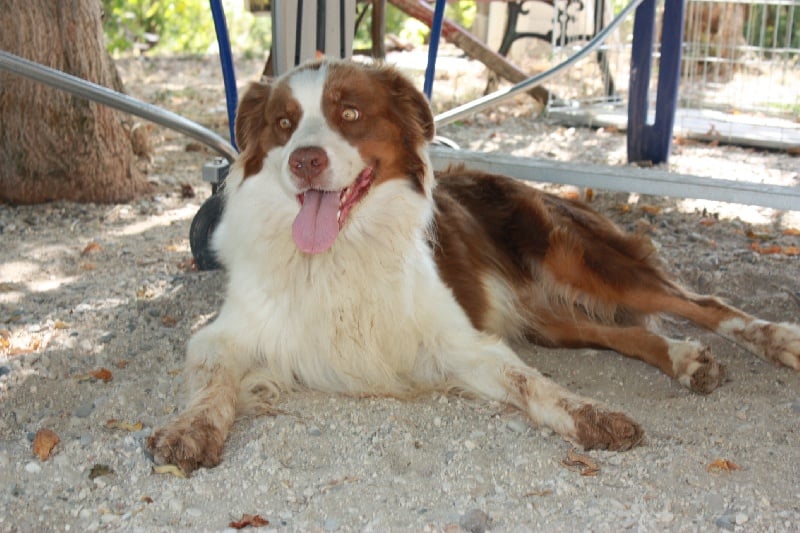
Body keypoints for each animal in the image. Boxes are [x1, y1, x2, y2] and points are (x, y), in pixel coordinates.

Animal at [148, 59, 800, 474]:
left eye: (349, 114)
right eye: (283, 124)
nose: (304, 160)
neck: (341, 250)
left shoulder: (458, 340)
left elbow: (531, 383)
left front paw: (590, 414)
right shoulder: (223, 336)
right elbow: (213, 384)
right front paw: (189, 429)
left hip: (576, 258)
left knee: (700, 303)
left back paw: (776, 339)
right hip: (545, 320)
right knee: (624, 333)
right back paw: (686, 359)